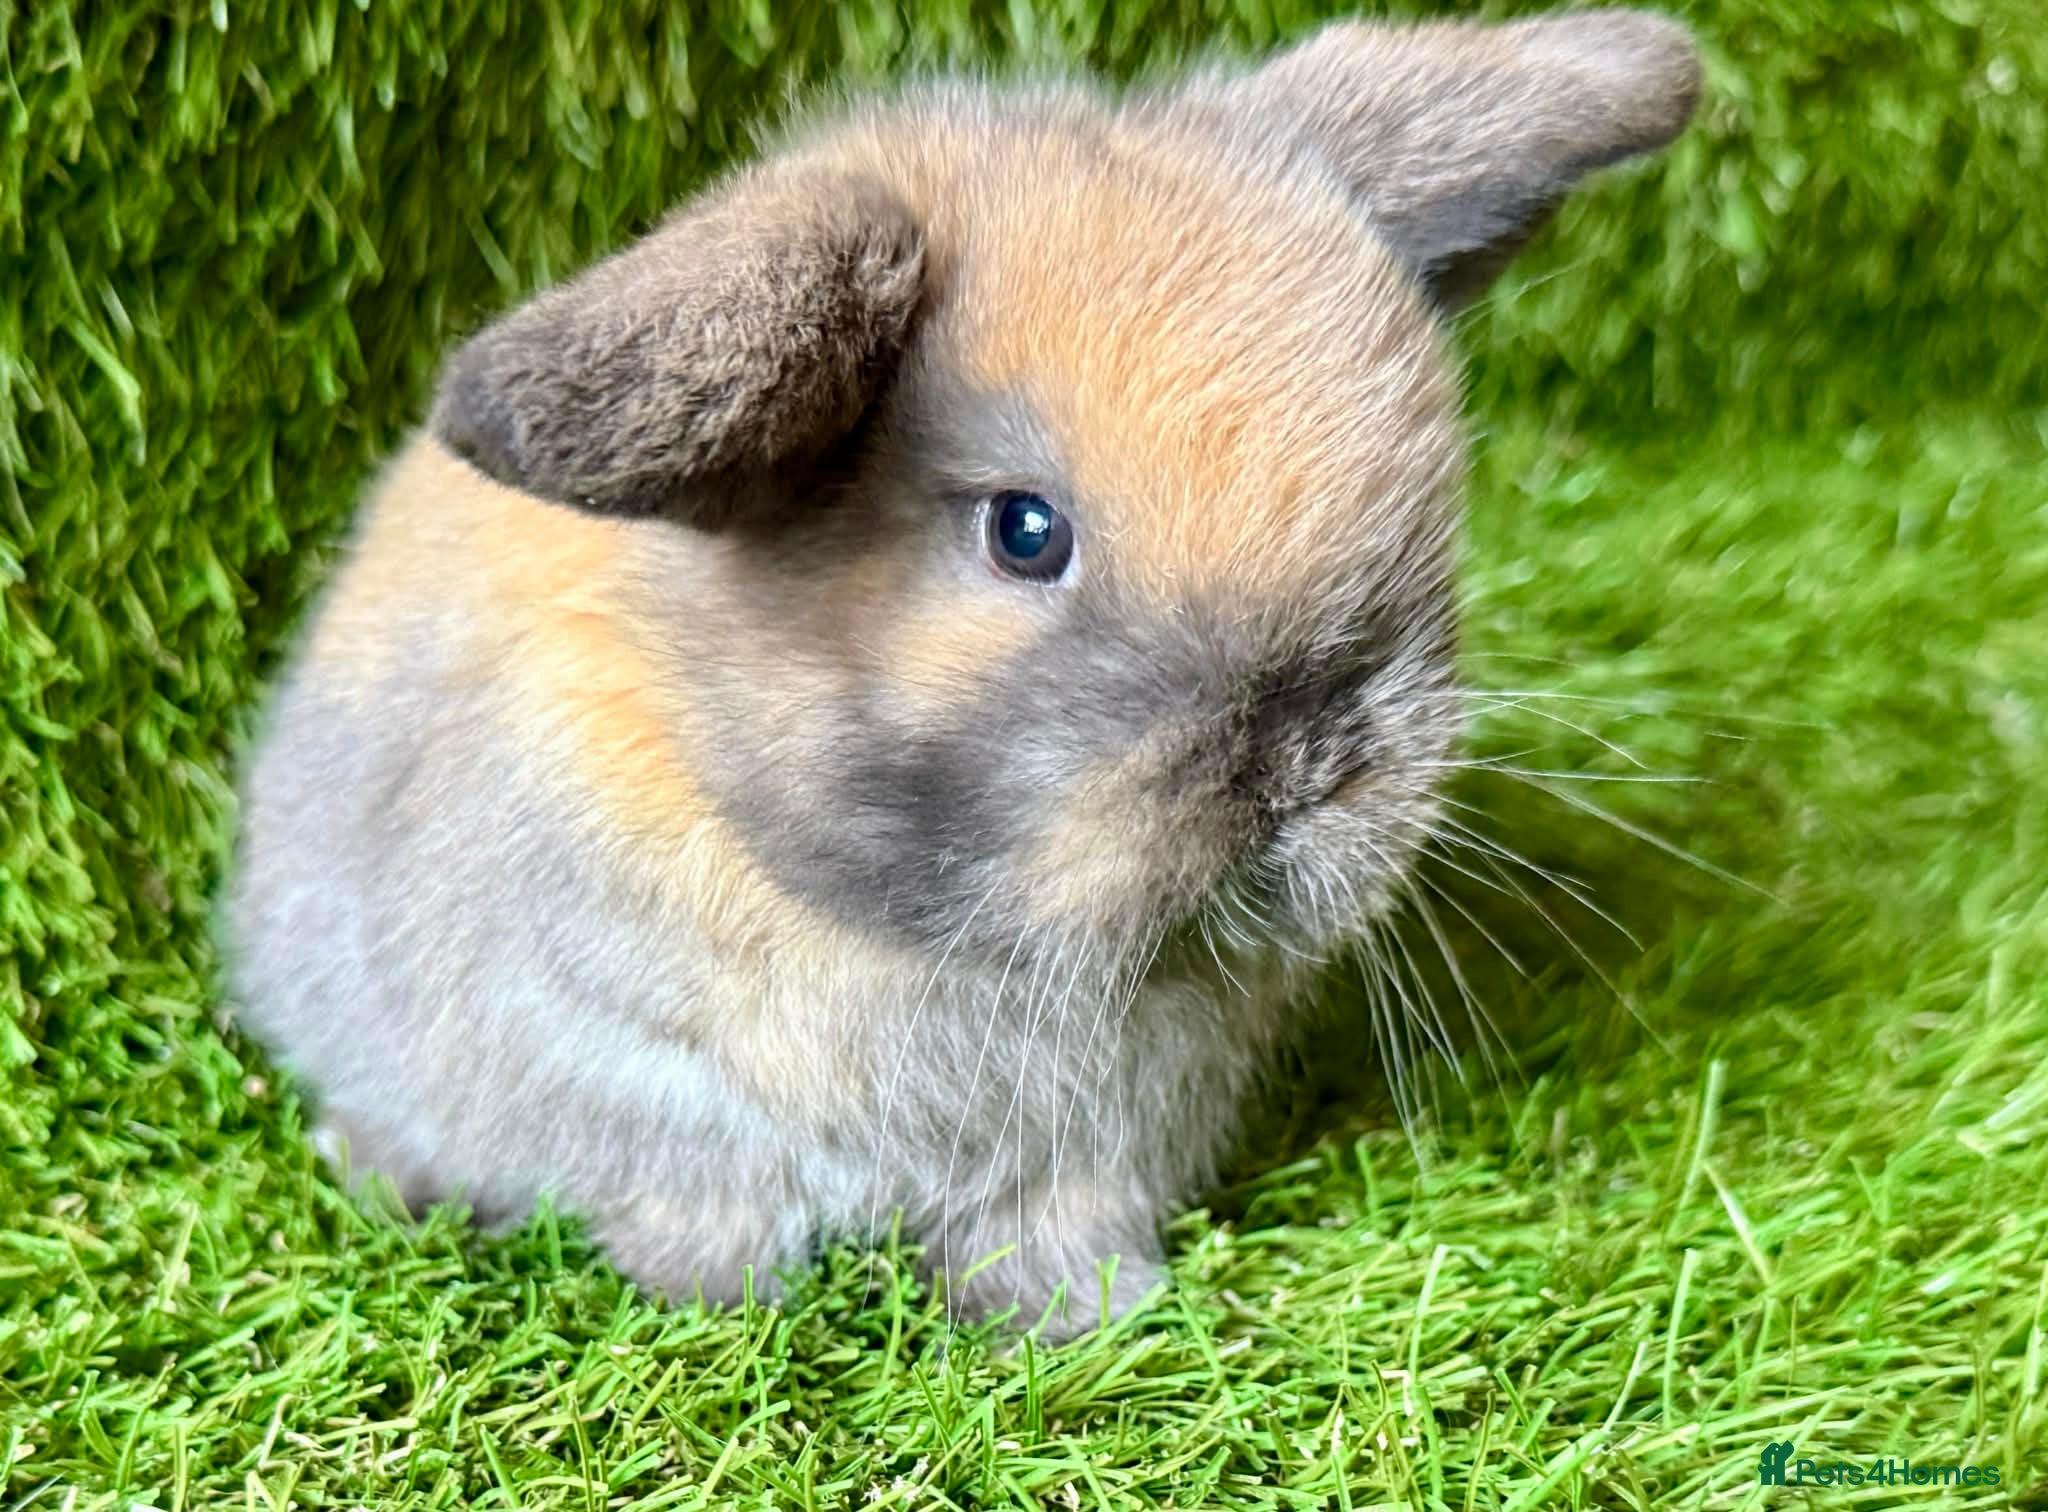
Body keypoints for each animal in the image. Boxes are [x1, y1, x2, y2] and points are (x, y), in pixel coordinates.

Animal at [225, 8, 1700, 1338]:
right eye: (1023, 530)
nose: (1307, 764)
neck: (912, 931)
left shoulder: (1084, 1156)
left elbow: (1049, 1229)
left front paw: (1088, 1320)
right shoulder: (656, 1108)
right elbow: (696, 1220)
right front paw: (721, 1315)